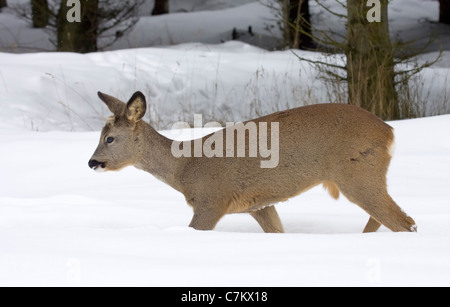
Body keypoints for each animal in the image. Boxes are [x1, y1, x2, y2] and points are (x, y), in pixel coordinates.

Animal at [89, 91, 418, 233]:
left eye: (110, 138)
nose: (92, 162)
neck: (183, 169)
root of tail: (389, 131)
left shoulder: (212, 200)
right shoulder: (259, 204)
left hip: (357, 171)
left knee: (404, 222)